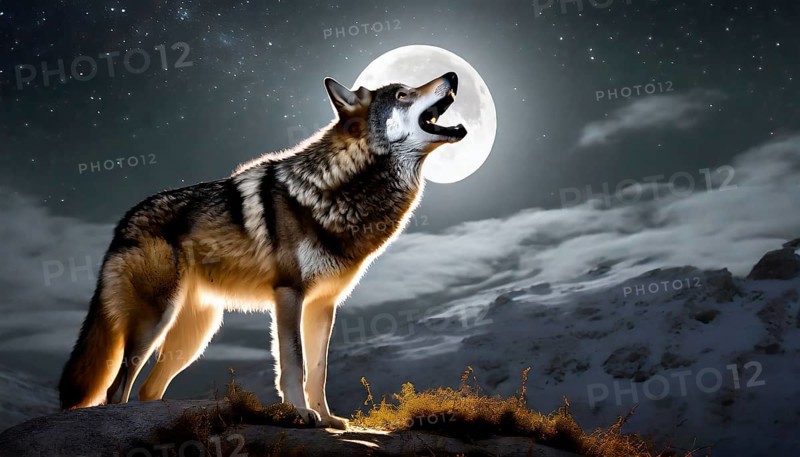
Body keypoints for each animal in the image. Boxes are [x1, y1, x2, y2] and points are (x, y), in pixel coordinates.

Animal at [58, 72, 467, 429]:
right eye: (403, 94)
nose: (452, 76)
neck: (340, 187)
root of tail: (123, 221)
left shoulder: (324, 305)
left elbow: (319, 371)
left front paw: (327, 418)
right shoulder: (288, 295)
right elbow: (294, 365)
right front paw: (301, 414)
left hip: (195, 336)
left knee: (147, 390)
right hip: (154, 322)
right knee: (115, 390)